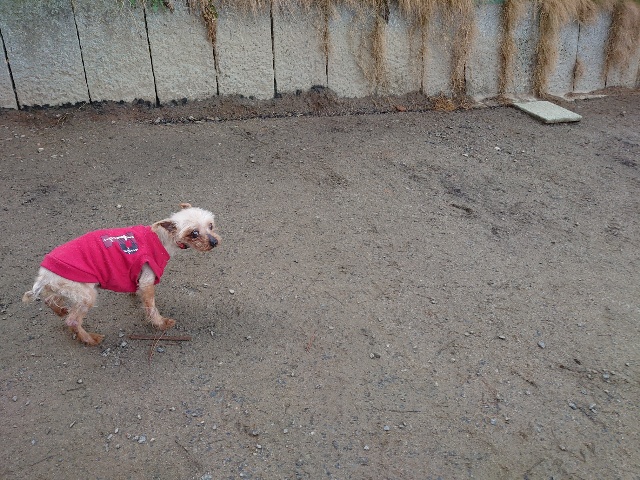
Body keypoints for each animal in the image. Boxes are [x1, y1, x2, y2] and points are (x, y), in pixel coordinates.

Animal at [23, 203, 220, 346]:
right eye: (194, 233)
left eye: (211, 226)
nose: (214, 242)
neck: (162, 238)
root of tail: (45, 275)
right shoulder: (148, 278)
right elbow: (151, 306)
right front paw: (160, 323)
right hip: (86, 293)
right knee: (72, 320)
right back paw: (89, 338)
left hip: (67, 287)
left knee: (50, 298)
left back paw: (60, 310)